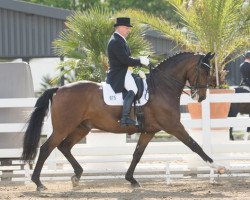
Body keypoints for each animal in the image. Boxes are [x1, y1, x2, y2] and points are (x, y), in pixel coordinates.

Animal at [21, 51, 225, 191]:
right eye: (204, 70)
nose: (201, 97)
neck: (162, 87)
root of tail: (59, 89)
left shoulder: (149, 131)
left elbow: (137, 154)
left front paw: (131, 180)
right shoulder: (174, 126)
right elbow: (195, 145)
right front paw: (218, 167)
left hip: (81, 128)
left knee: (64, 147)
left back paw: (76, 176)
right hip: (63, 127)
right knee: (47, 148)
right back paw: (39, 183)